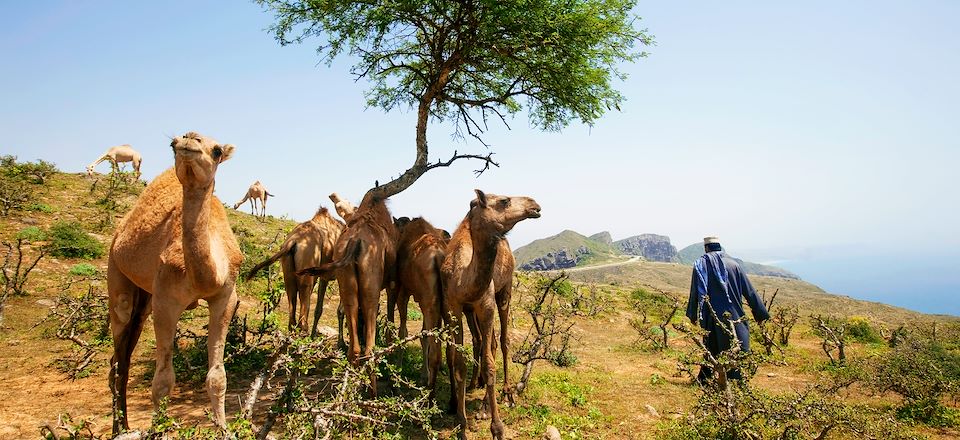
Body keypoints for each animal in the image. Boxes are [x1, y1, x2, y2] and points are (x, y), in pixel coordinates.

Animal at [107, 131, 244, 434]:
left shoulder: (225, 297)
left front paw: (224, 429)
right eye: (173, 144)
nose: (189, 139)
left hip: (144, 297)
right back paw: (119, 428)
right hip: (116, 274)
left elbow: (217, 376)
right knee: (118, 359)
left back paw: (123, 424)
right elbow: (162, 381)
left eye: (217, 151)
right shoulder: (166, 301)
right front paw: (158, 429)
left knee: (122, 358)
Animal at [244, 208, 344, 336]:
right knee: (304, 293)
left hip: (288, 270)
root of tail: (294, 241)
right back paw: (304, 333)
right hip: (308, 265)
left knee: (291, 295)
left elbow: (319, 309)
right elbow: (341, 310)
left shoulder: (324, 277)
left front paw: (314, 337)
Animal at [296, 192, 394, 396]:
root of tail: (355, 243)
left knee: (354, 347)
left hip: (345, 281)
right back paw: (371, 393)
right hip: (370, 290)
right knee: (369, 347)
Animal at [388, 217, 448, 398]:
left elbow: (404, 332)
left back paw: (429, 394)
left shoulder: (404, 291)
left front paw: (398, 375)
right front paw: (423, 375)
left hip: (427, 299)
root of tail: (438, 257)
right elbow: (423, 335)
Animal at [442, 189, 540, 440]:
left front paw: (497, 428)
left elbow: (489, 364)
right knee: (487, 341)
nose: (535, 205)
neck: (463, 276)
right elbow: (459, 363)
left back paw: (504, 396)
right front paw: (461, 426)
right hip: (472, 311)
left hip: (505, 291)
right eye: (504, 201)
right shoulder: (454, 306)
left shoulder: (486, 304)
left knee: (502, 341)